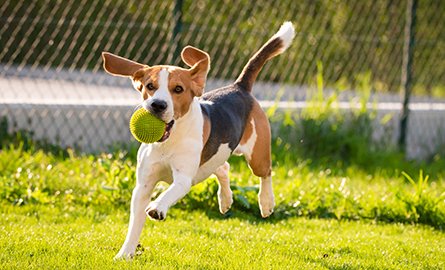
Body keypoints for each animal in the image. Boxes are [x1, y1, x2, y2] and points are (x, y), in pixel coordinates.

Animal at [102, 22, 294, 258]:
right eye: (150, 86)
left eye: (178, 89)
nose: (158, 105)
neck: (169, 141)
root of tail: (239, 87)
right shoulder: (143, 185)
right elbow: (134, 225)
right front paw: (125, 254)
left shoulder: (183, 178)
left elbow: (168, 193)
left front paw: (157, 208)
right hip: (212, 160)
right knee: (223, 168)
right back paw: (225, 200)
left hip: (257, 156)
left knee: (265, 173)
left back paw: (266, 202)